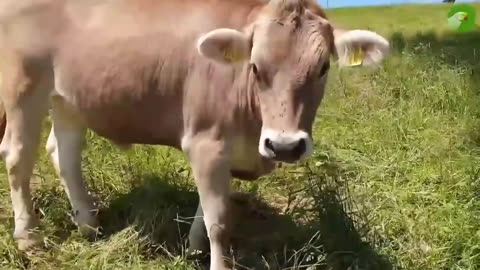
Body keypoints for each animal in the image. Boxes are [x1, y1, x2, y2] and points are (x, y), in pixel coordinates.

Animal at [0, 0, 390, 268]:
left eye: (323, 68)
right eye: (255, 67)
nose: (284, 146)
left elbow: (208, 206)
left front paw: (194, 247)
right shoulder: (206, 142)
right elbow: (220, 221)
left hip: (67, 98)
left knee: (63, 152)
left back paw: (88, 224)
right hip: (23, 87)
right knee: (18, 157)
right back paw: (28, 238)